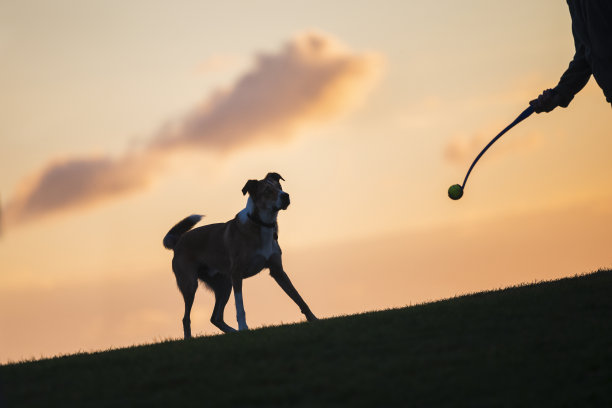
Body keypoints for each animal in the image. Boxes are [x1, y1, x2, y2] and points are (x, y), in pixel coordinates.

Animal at [164, 172, 316, 338]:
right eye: (267, 191)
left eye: (280, 186)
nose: (286, 196)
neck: (260, 224)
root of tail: (178, 241)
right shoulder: (237, 274)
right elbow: (240, 307)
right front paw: (244, 327)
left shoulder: (278, 271)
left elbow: (298, 297)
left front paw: (313, 319)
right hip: (190, 284)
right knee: (186, 318)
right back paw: (190, 338)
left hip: (224, 285)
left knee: (215, 317)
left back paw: (232, 332)